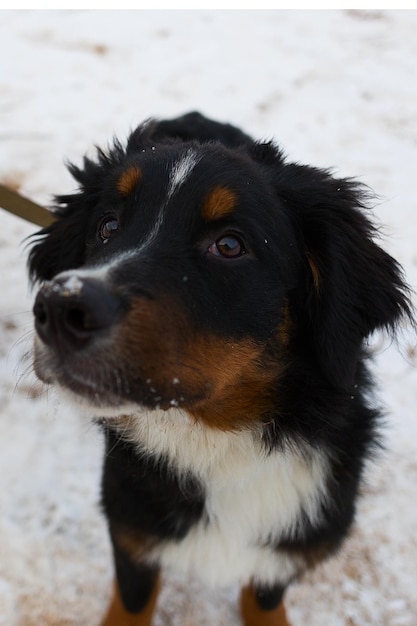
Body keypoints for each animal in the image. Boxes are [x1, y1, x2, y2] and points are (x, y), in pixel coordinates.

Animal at [28, 113, 410, 624]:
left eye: (230, 245)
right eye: (108, 225)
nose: (59, 308)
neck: (218, 443)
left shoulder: (292, 545)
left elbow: (264, 598)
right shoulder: (131, 530)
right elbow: (132, 603)